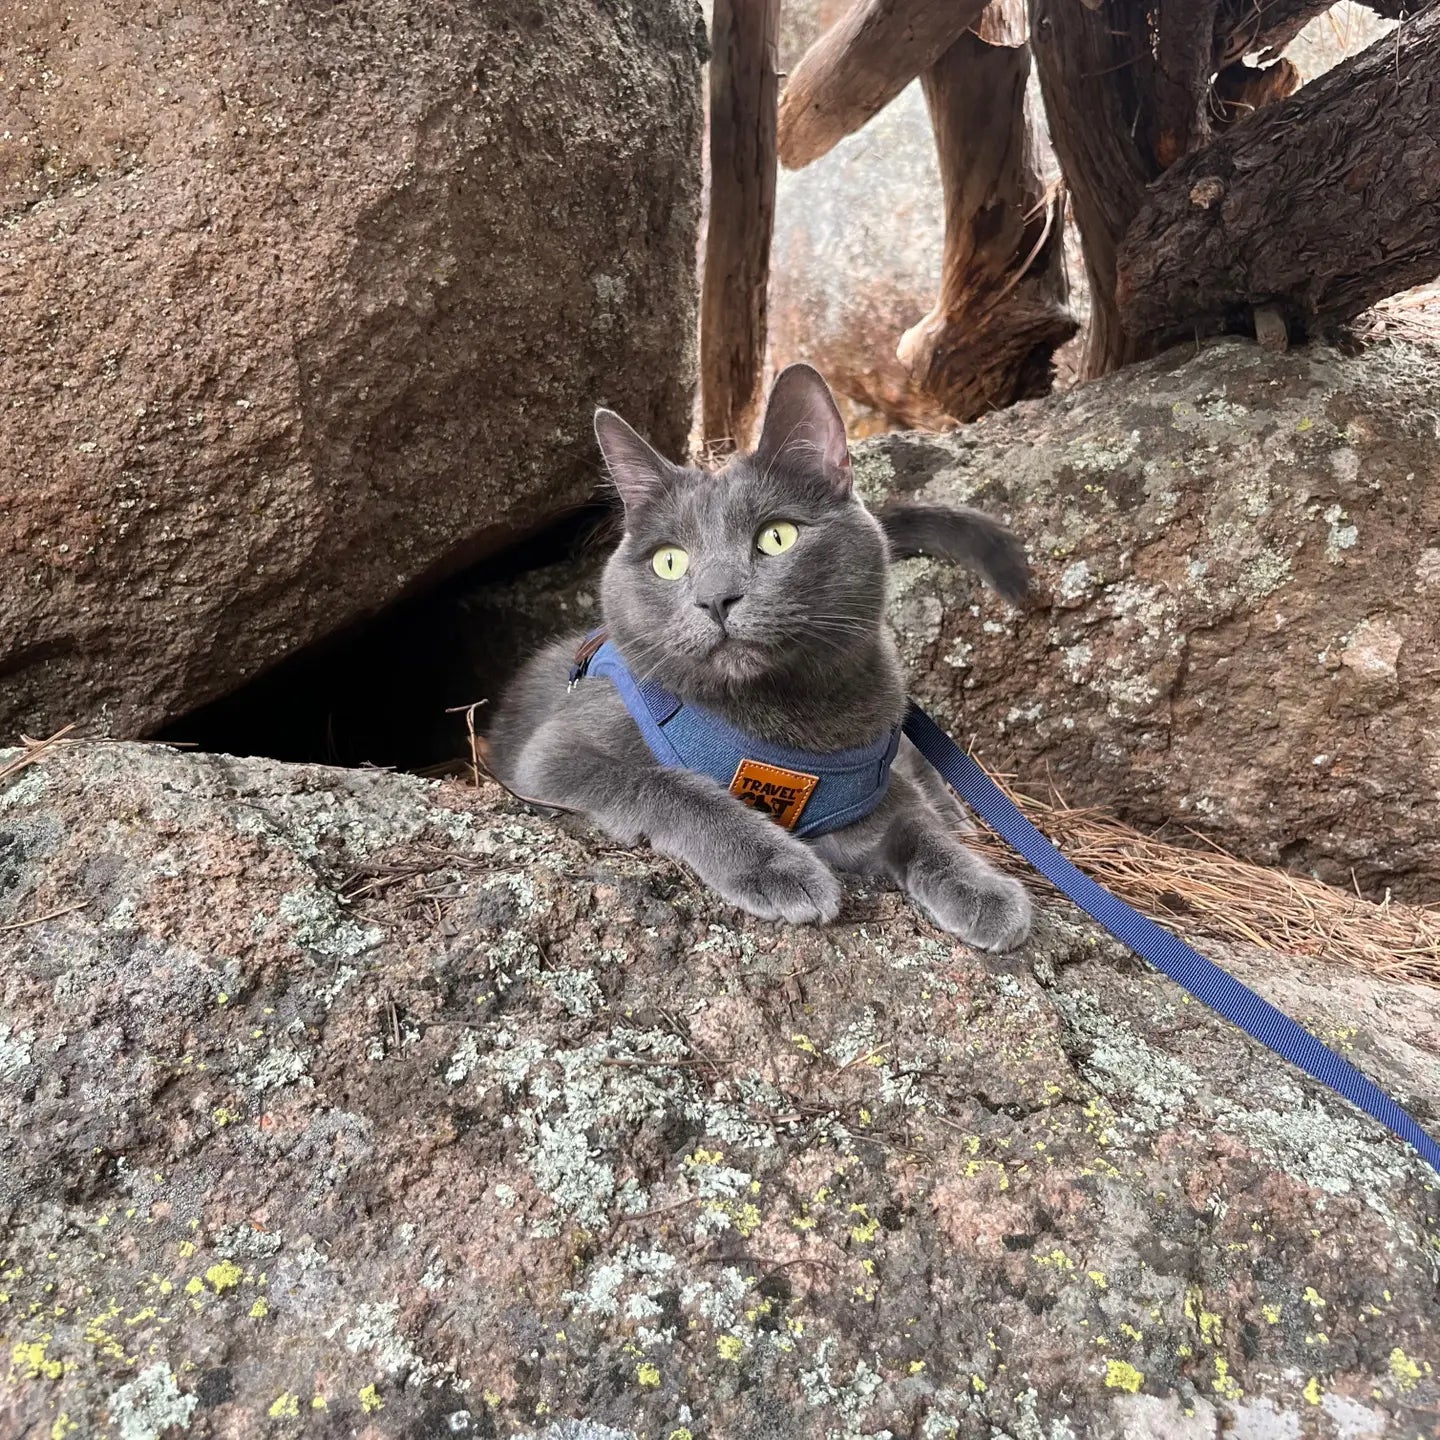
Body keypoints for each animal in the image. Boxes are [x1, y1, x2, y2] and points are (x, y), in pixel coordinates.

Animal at [492, 360, 1036, 950]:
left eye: (777, 537)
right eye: (668, 561)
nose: (716, 597)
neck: (781, 723)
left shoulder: (871, 788)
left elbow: (915, 824)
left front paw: (983, 888)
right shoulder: (552, 756)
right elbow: (671, 784)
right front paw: (778, 866)